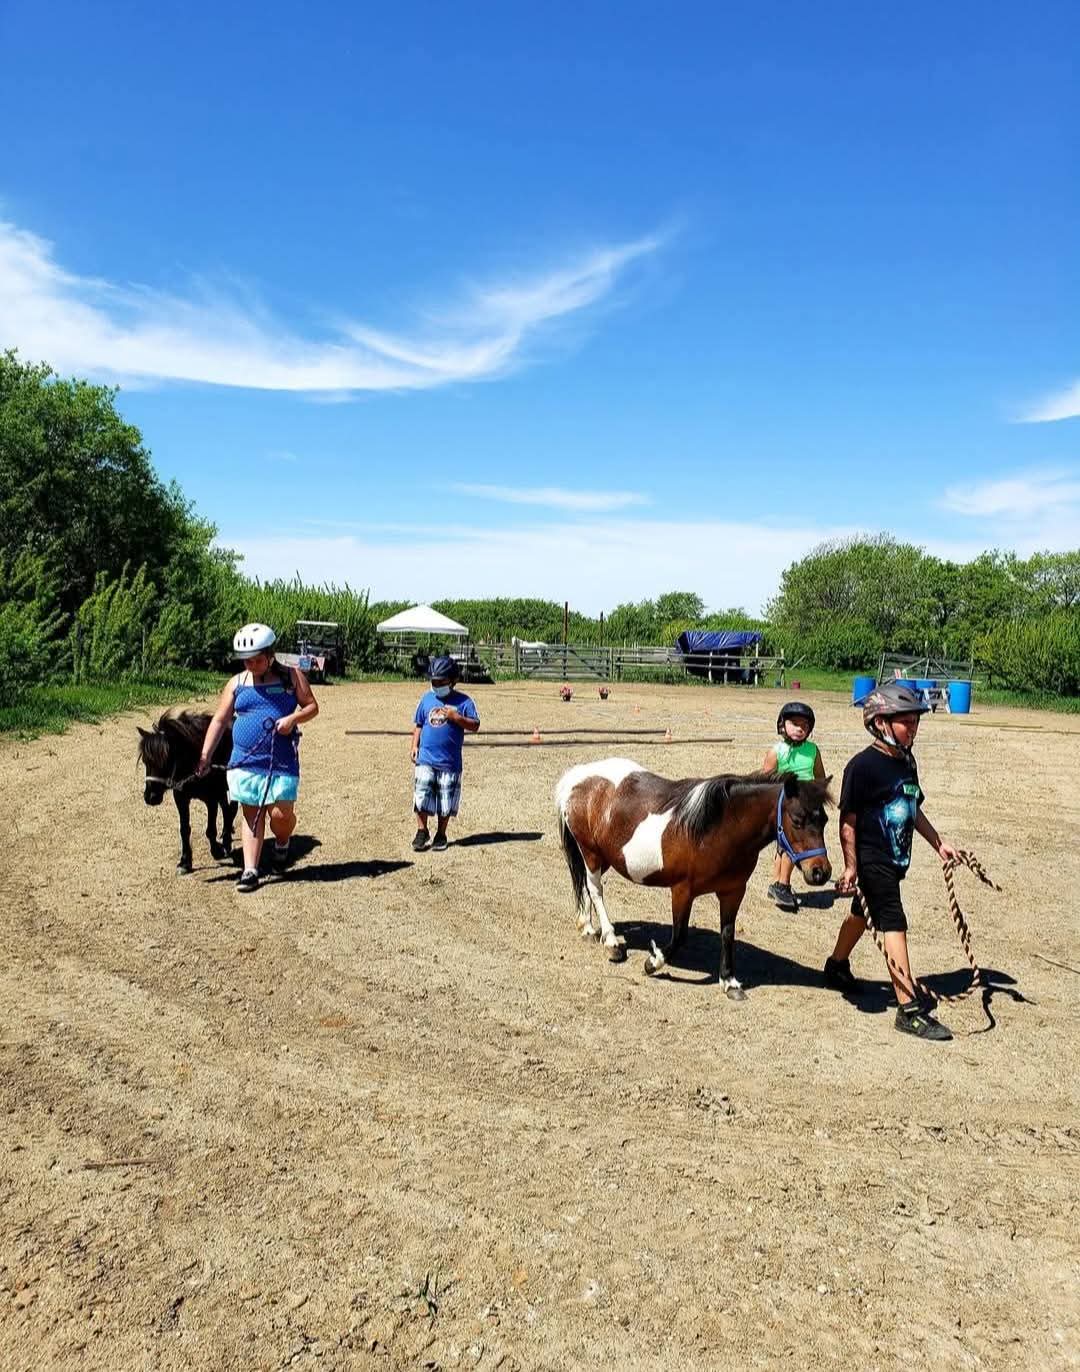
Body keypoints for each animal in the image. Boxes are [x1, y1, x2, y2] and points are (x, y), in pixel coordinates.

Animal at [137, 709, 237, 873]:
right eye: (146, 761)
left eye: (166, 760)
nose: (150, 797)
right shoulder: (181, 798)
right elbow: (184, 829)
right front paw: (185, 862)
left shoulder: (211, 800)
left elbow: (210, 829)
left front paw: (216, 851)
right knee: (227, 809)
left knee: (231, 811)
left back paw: (227, 841)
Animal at [554, 759, 832, 999]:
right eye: (797, 819)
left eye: (825, 820)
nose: (821, 872)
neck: (718, 828)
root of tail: (578, 777)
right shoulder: (682, 891)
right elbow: (679, 936)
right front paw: (652, 962)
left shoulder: (733, 892)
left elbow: (727, 934)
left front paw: (729, 981)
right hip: (590, 852)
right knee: (595, 889)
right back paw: (611, 942)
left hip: (605, 857)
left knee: (585, 885)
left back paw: (588, 928)